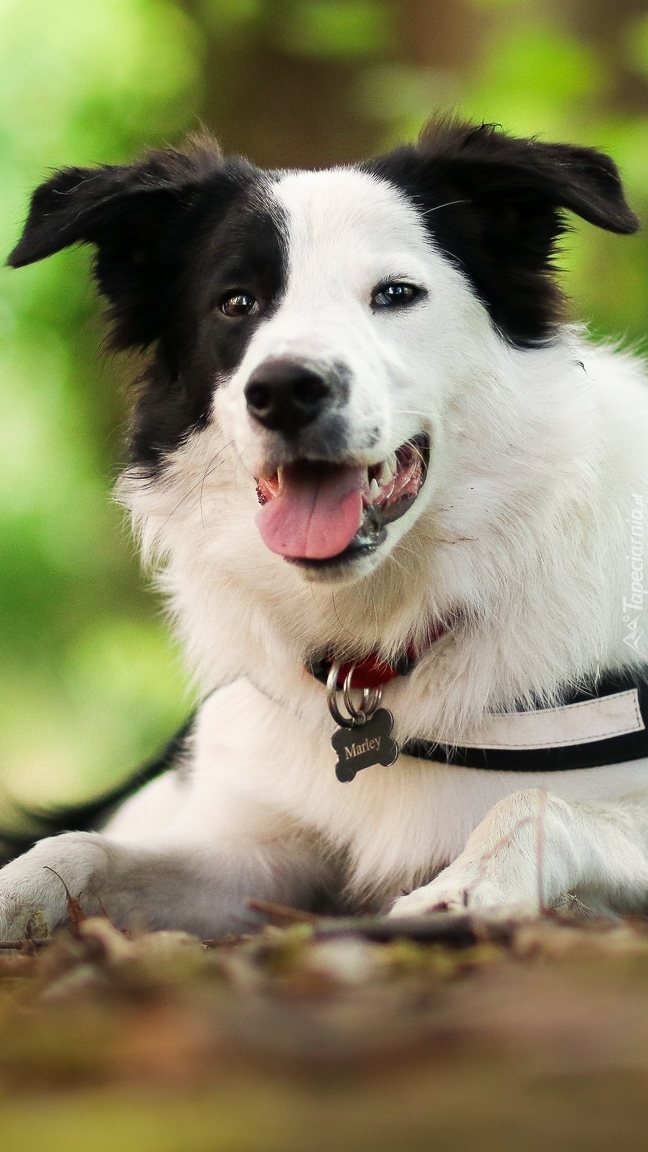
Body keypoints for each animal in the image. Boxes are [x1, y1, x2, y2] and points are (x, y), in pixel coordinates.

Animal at [3, 116, 645, 940]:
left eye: (397, 294)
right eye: (237, 302)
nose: (284, 390)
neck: (380, 640)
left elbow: (537, 803)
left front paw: (462, 890)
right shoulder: (258, 852)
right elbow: (78, 847)